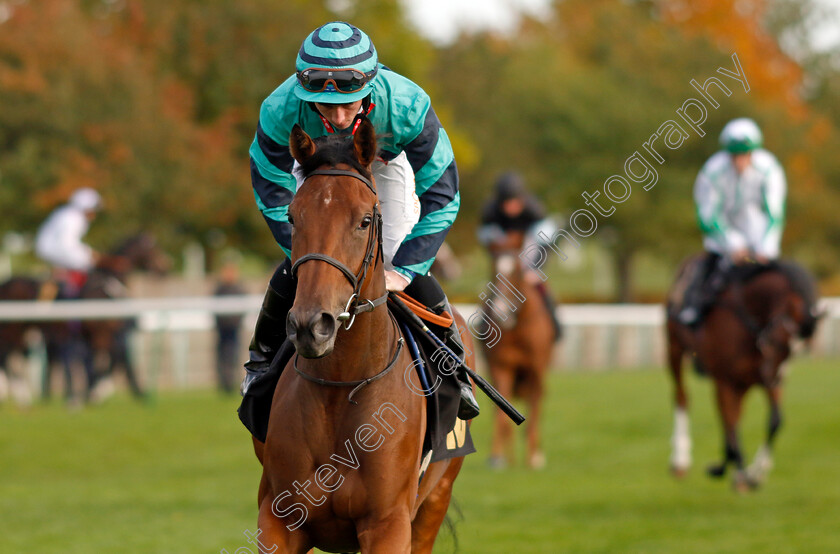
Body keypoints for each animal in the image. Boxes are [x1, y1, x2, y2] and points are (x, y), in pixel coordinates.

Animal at [480, 229, 556, 466]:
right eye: (492, 267)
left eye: (515, 270)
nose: (499, 311)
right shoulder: (500, 367)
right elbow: (502, 415)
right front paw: (497, 458)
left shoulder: (535, 368)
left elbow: (533, 409)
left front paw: (533, 458)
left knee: (537, 403)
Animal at [668, 252, 816, 490]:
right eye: (776, 341)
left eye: (798, 350)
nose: (775, 375)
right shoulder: (727, 379)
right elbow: (732, 420)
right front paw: (741, 472)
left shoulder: (762, 378)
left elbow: (775, 421)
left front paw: (754, 472)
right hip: (674, 347)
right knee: (682, 397)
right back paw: (681, 461)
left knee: (733, 414)